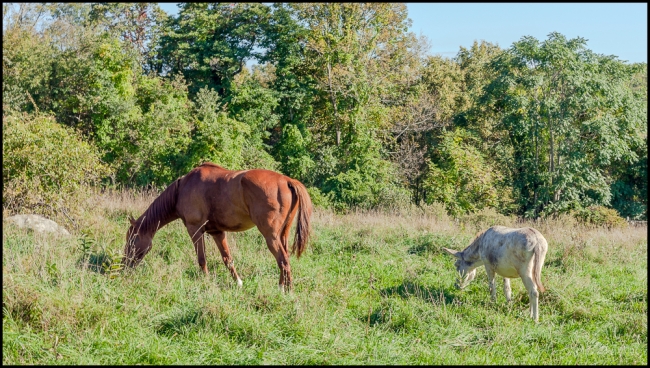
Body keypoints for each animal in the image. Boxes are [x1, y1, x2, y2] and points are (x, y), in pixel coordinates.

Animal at [124, 162, 314, 292]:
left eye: (131, 240)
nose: (124, 266)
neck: (182, 189)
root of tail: (287, 180)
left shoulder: (195, 229)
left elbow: (202, 259)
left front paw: (205, 281)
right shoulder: (217, 232)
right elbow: (227, 259)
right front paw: (238, 283)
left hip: (271, 236)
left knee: (283, 260)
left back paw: (286, 291)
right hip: (282, 235)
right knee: (284, 258)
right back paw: (282, 286)